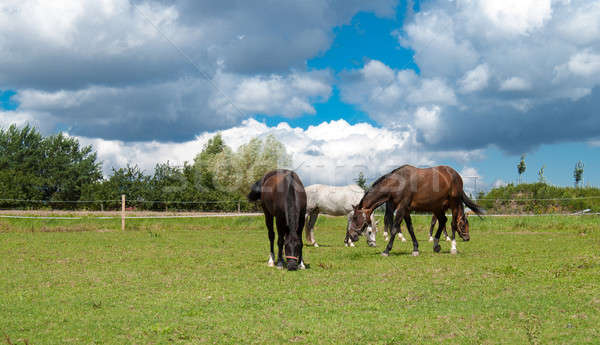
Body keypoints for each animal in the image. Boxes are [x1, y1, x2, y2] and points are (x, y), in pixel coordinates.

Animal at [346, 164, 482, 255]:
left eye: (356, 218)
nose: (351, 235)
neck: (397, 183)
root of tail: (455, 174)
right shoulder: (405, 210)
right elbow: (410, 228)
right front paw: (415, 248)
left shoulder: (401, 208)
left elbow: (394, 228)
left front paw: (387, 250)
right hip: (437, 207)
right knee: (442, 221)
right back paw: (436, 245)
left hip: (453, 204)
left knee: (452, 223)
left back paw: (453, 247)